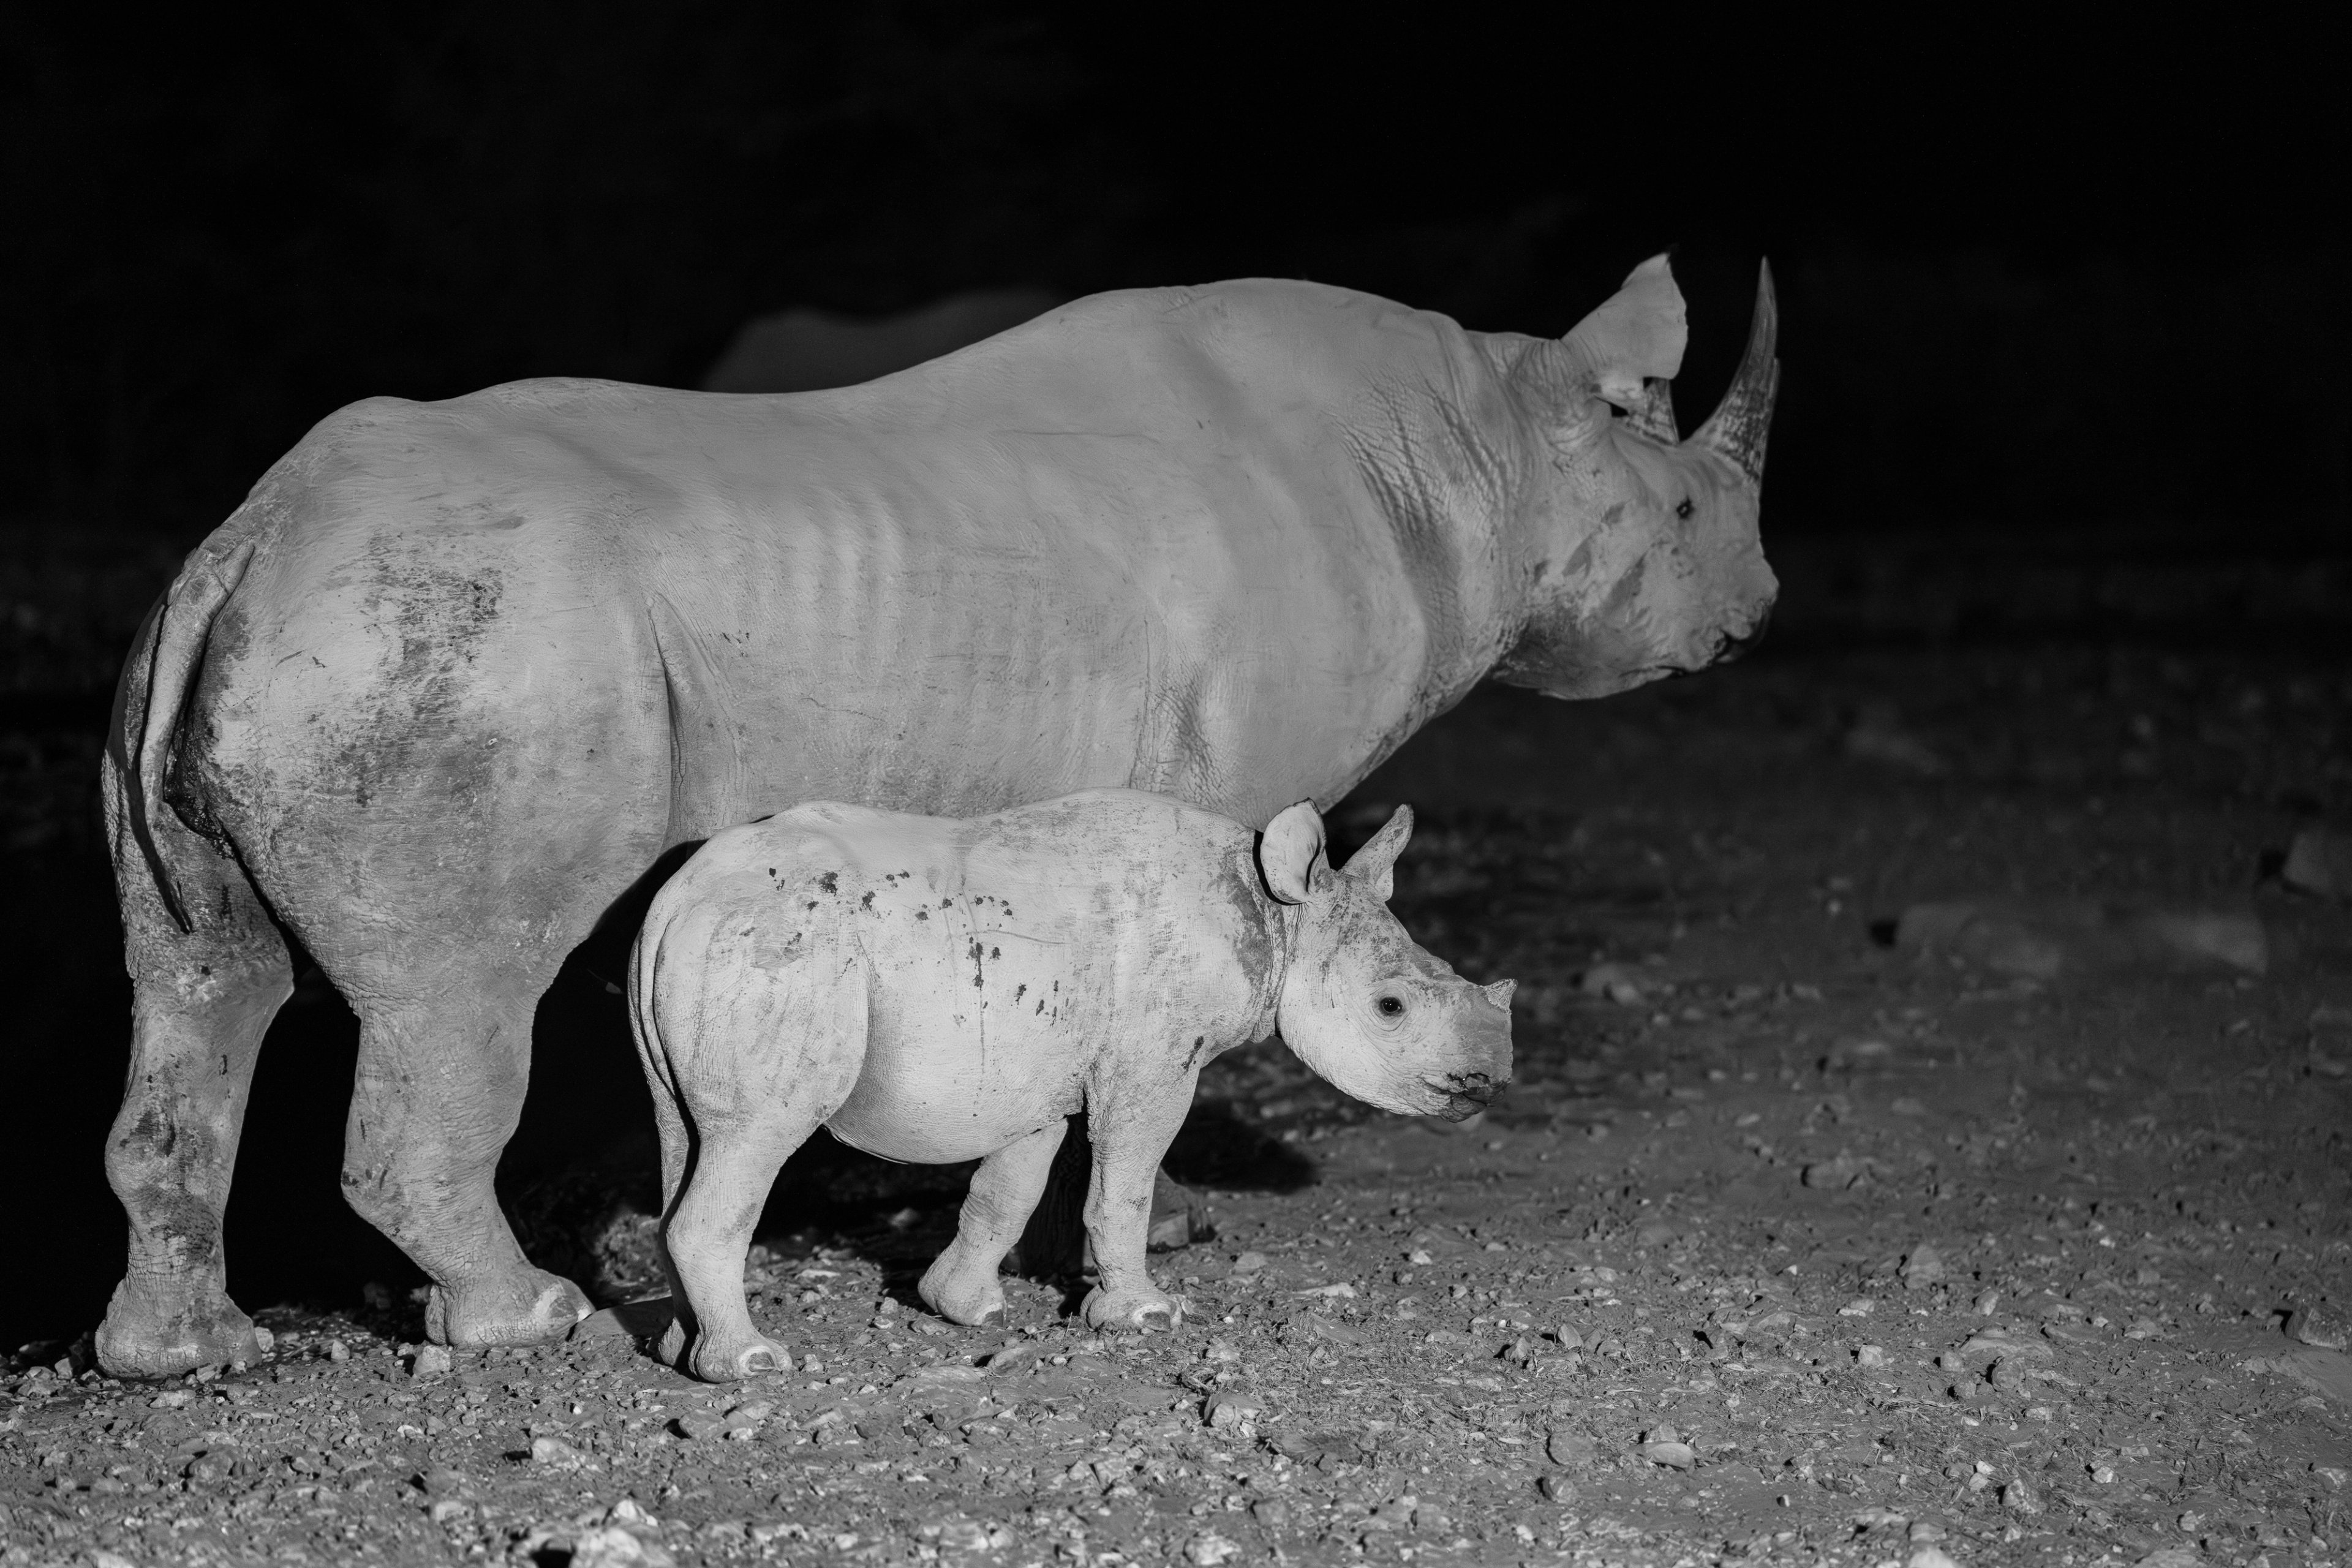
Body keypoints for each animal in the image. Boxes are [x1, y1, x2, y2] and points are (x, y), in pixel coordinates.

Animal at [634, 790, 1511, 1379]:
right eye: (1391, 1007)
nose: (1491, 1081)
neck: (1278, 917)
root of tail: (674, 904)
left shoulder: (1037, 1070)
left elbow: (1007, 1190)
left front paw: (964, 1306)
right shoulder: (1154, 1063)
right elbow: (1124, 1187)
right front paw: (1143, 1314)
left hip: (719, 947)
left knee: (684, 1134)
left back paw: (682, 1351)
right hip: (783, 948)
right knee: (757, 1135)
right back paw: (753, 1363)